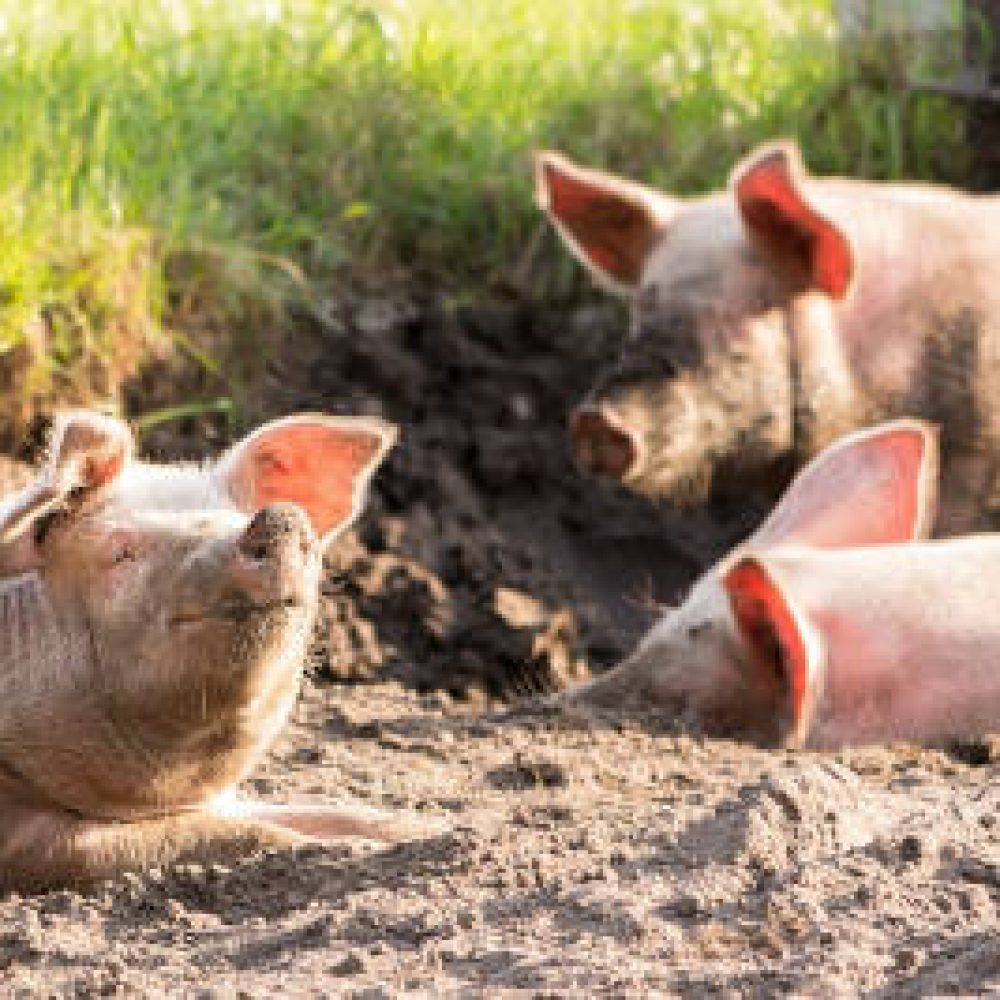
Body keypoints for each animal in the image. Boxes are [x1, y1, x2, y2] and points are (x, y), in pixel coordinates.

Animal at [0, 408, 432, 892]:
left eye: (232, 516)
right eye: (122, 552)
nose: (279, 518)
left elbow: (327, 812)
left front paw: (433, 831)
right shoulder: (27, 843)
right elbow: (220, 834)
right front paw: (353, 850)